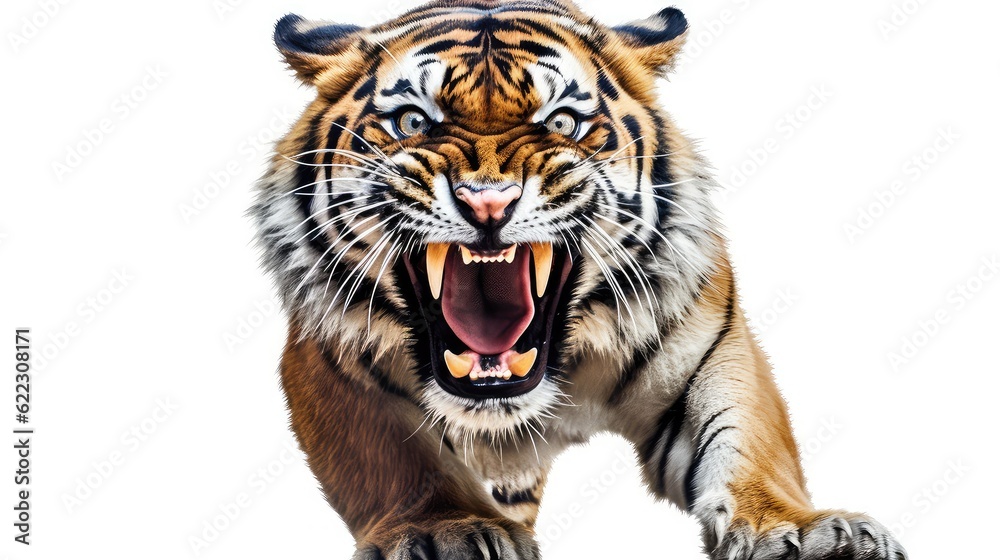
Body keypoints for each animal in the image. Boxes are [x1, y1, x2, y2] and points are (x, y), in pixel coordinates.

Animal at [251, 1, 909, 558]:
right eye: (413, 120)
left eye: (563, 122)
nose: (487, 201)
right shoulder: (330, 361)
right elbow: (400, 459)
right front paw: (444, 531)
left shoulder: (714, 348)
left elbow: (751, 442)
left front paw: (807, 532)